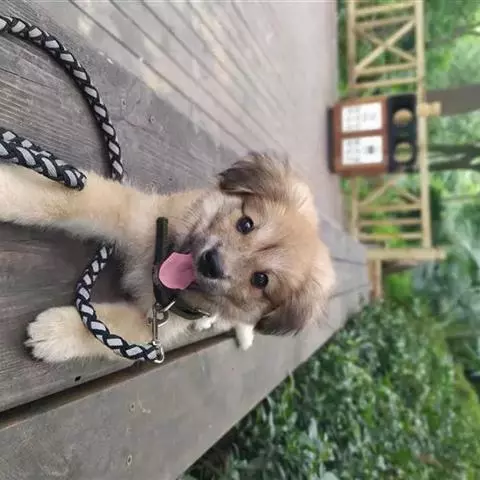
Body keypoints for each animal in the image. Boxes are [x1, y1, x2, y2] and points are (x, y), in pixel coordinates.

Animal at [0, 152, 335, 363]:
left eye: (260, 280)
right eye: (245, 224)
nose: (211, 262)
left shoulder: (151, 328)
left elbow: (100, 329)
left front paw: (53, 333)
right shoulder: (129, 212)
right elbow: (64, 201)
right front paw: (7, 194)